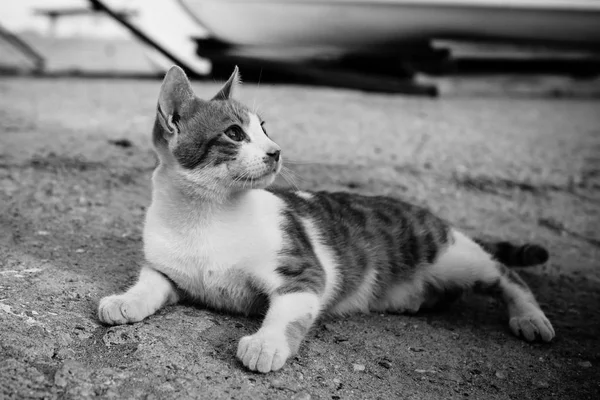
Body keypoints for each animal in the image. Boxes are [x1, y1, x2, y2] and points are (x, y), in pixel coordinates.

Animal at [97, 66, 552, 376]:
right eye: (235, 134)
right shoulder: (167, 267)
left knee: (506, 273)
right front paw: (126, 300)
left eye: (265, 129)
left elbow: (288, 312)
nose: (277, 151)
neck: (206, 216)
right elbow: (151, 281)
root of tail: (425, 211)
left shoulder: (305, 272)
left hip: (450, 255)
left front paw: (266, 343)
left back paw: (530, 317)